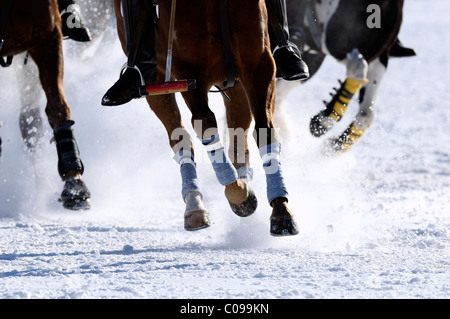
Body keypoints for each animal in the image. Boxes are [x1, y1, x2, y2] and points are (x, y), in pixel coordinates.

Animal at [111, 0, 298, 235]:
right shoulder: (188, 71)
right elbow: (205, 125)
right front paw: (238, 194)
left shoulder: (258, 64)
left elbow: (265, 129)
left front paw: (281, 209)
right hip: (156, 81)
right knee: (180, 137)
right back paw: (195, 206)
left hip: (234, 82)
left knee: (238, 130)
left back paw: (243, 176)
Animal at [276, 0, 416, 154]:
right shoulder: (334, 38)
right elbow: (357, 67)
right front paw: (324, 120)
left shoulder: (379, 54)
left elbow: (367, 114)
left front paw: (332, 144)